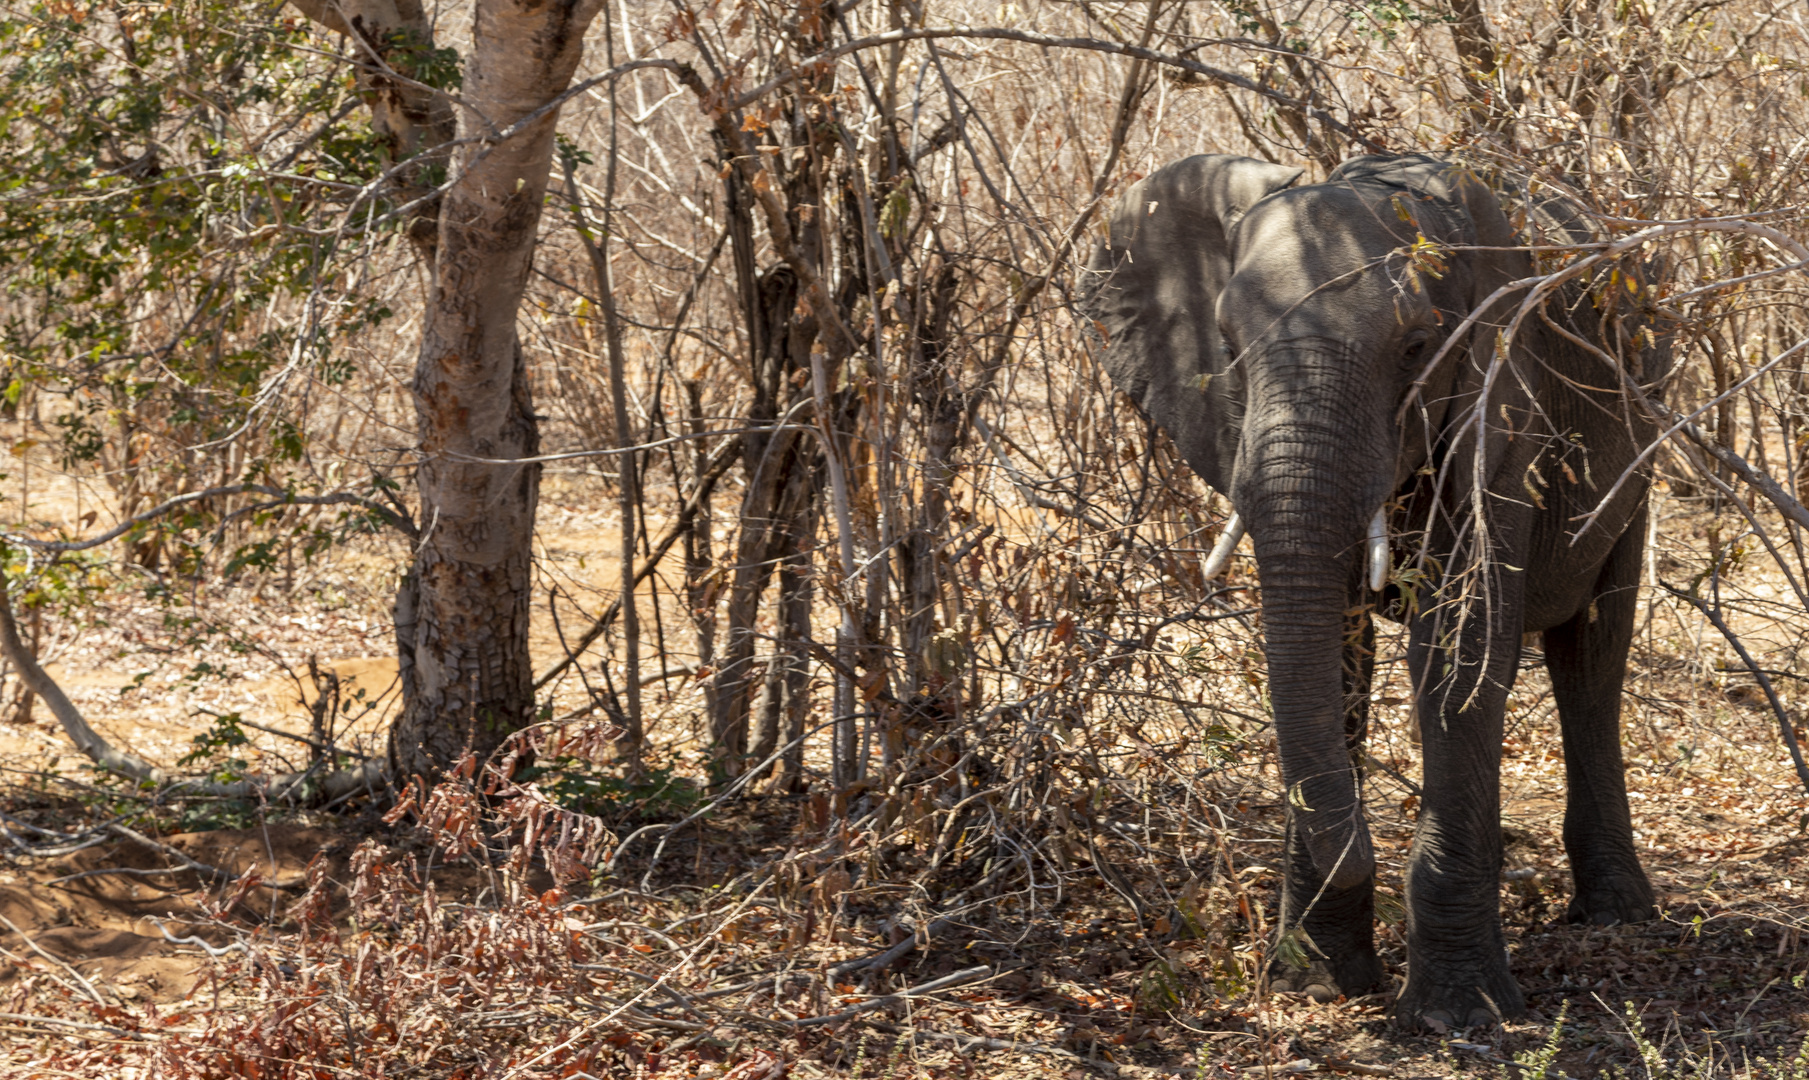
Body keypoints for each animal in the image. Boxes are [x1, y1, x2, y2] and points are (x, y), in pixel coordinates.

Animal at [1078, 153, 1671, 1027]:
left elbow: (1457, 648)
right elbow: (1336, 653)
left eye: (1418, 345)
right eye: (1225, 344)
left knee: (1591, 657)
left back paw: (1617, 915)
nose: (1362, 850)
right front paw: (1314, 980)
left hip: (1642, 447)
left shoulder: (1503, 403)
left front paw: (1456, 1015)